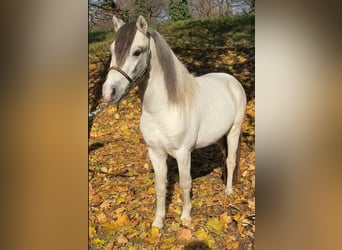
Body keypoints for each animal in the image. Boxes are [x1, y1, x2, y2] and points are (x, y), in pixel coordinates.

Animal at [101, 15, 246, 229]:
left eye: (137, 51)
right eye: (112, 50)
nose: (109, 93)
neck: (164, 108)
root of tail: (232, 81)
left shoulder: (183, 153)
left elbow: (185, 183)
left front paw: (185, 217)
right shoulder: (155, 152)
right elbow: (160, 186)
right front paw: (158, 222)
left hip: (233, 131)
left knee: (231, 159)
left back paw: (228, 191)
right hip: (220, 136)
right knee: (225, 156)